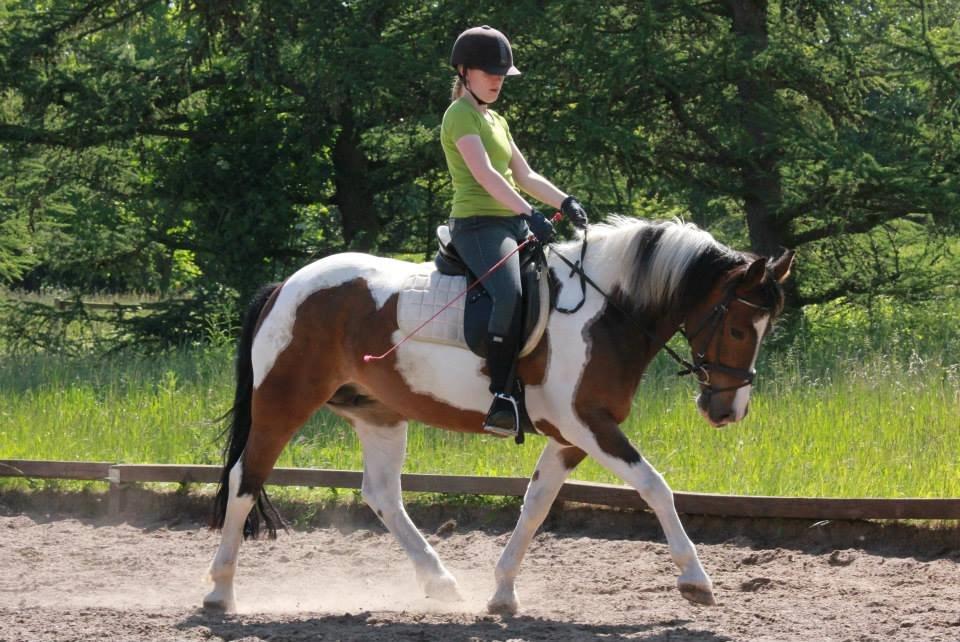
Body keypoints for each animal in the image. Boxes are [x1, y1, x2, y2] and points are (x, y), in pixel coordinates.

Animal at [202, 218, 796, 612]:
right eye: (738, 328)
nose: (728, 409)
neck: (606, 312)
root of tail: (288, 285)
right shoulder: (588, 424)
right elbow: (655, 487)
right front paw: (695, 580)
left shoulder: (570, 437)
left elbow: (535, 506)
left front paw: (503, 592)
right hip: (283, 401)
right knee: (246, 479)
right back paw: (220, 591)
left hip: (379, 415)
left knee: (382, 494)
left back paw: (441, 583)